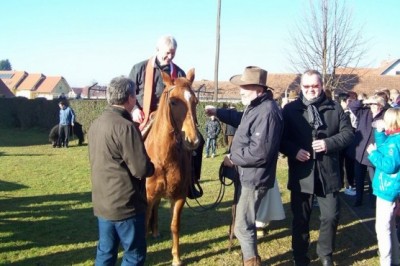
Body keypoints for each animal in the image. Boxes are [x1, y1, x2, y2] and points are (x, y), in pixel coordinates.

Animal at [144, 68, 200, 264]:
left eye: (195, 101)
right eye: (173, 101)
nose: (193, 140)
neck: (163, 159)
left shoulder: (179, 196)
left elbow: (175, 225)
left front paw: (176, 258)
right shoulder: (147, 196)